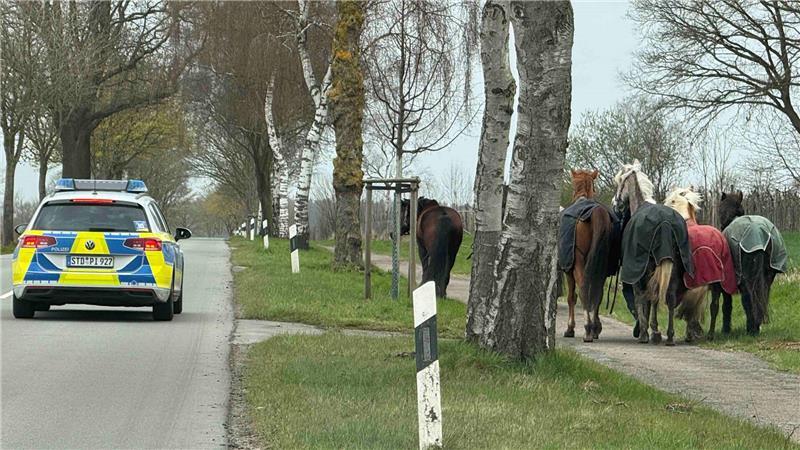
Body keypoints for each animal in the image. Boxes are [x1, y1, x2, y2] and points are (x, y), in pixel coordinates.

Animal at [558, 169, 619, 342]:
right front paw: (596, 327)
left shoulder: (569, 270)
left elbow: (572, 297)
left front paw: (570, 328)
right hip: (601, 265)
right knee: (598, 291)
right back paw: (594, 328)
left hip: (578, 262)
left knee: (584, 287)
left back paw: (587, 328)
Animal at [613, 161, 694, 345]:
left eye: (619, 180)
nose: (616, 203)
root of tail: (665, 223)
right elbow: (653, 300)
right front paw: (655, 331)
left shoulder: (639, 273)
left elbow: (642, 298)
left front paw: (645, 331)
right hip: (673, 269)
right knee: (669, 297)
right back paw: (669, 336)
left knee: (650, 295)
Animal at [664, 187, 737, 342]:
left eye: (671, 200)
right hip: (716, 282)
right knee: (714, 306)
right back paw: (709, 335)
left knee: (675, 301)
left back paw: (674, 336)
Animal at [711, 191, 788, 336]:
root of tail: (762, 234)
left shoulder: (727, 283)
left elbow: (727, 305)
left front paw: (725, 330)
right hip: (768, 276)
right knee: (762, 298)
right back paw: (755, 325)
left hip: (747, 277)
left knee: (748, 298)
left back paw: (752, 329)